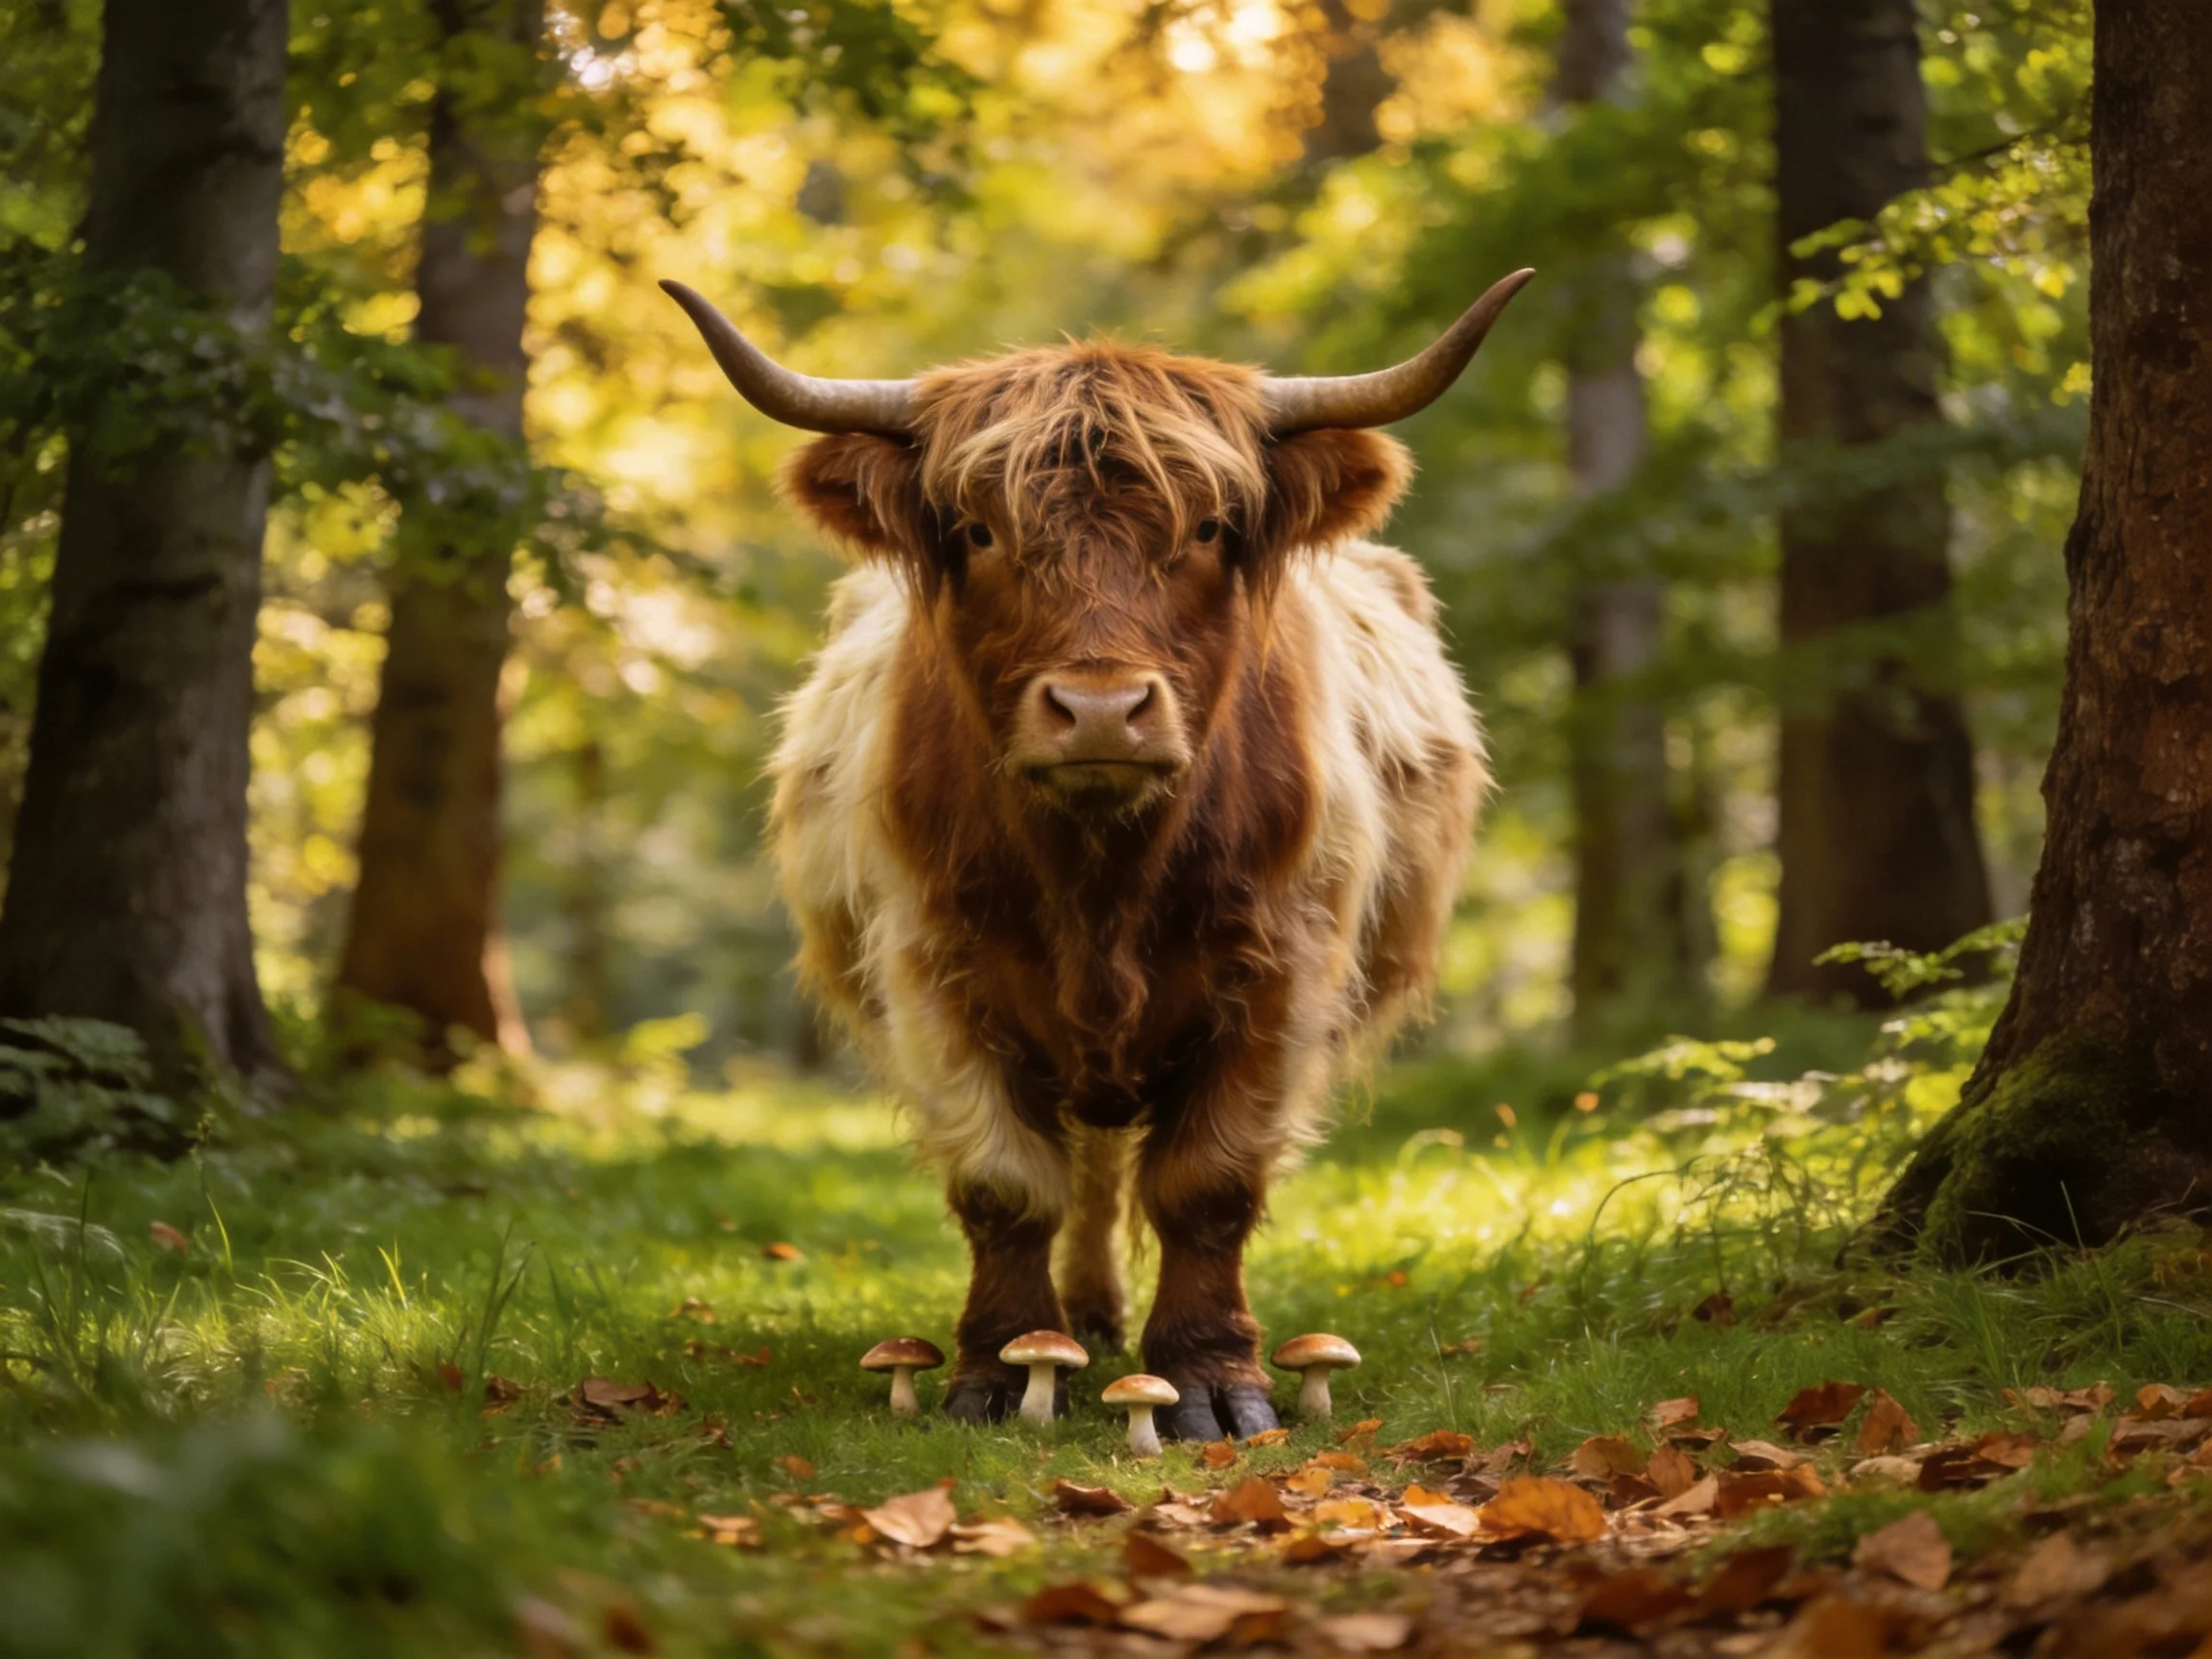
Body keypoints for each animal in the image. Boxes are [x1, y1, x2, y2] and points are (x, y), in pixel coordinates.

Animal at [665, 271, 1531, 1439]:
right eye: (978, 530)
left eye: (1209, 525)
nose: (1101, 710)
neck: (1101, 879)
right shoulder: (934, 971)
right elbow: (1005, 1183)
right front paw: (997, 1369)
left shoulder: (1280, 975)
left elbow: (1206, 1182)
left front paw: (1211, 1382)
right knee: (1083, 1168)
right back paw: (1078, 1322)